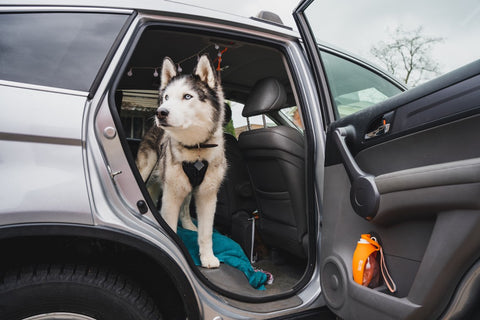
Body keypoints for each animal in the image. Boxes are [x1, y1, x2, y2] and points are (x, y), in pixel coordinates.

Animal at [135, 54, 225, 268]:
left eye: (187, 96)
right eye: (167, 97)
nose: (160, 112)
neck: (196, 149)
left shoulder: (208, 195)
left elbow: (206, 233)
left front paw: (207, 257)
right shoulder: (171, 194)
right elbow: (170, 228)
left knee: (185, 207)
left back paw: (188, 224)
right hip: (147, 168)